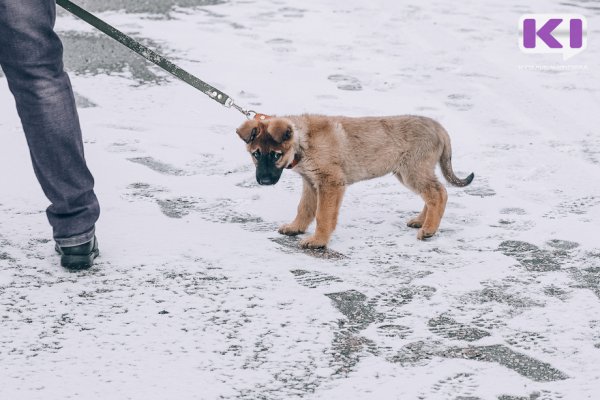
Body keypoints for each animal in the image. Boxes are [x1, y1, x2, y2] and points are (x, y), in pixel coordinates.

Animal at [237, 113, 476, 247]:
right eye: (256, 154)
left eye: (275, 155)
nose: (264, 181)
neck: (303, 142)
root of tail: (439, 127)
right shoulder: (311, 183)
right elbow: (304, 209)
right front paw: (295, 228)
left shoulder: (331, 183)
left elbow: (323, 215)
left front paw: (318, 241)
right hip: (409, 172)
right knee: (432, 194)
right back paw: (421, 221)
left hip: (413, 170)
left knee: (438, 193)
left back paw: (428, 230)